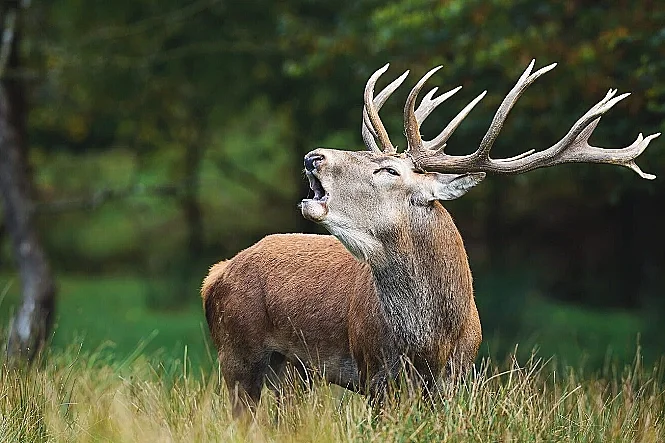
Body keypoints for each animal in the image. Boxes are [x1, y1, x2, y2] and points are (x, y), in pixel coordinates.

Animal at [202, 60, 658, 417]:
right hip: (237, 351)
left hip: (291, 372)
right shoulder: (375, 371)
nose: (313, 156)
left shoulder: (456, 376)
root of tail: (216, 274)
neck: (430, 339)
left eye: (388, 170)